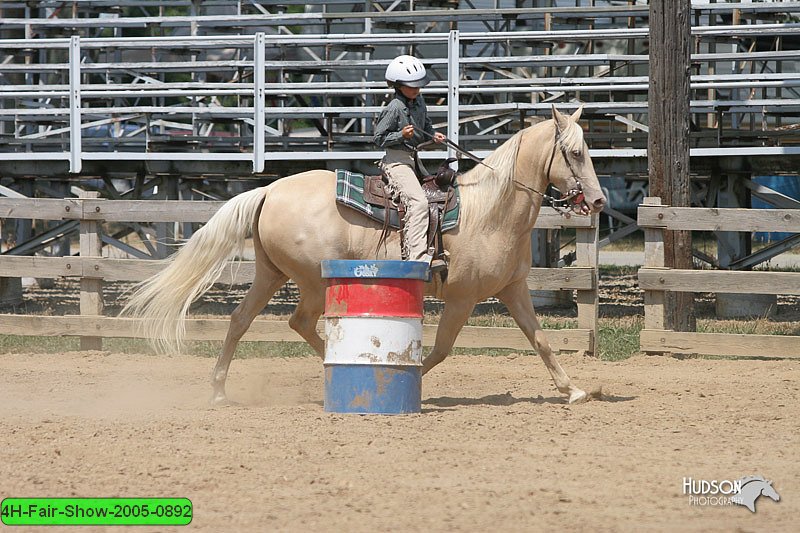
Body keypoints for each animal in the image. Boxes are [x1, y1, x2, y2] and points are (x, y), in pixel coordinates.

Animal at [122, 105, 608, 404]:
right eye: (575, 152)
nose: (599, 201)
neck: (491, 210)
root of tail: (269, 190)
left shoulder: (513, 289)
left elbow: (540, 340)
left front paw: (574, 390)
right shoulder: (462, 297)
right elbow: (440, 350)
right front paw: (411, 380)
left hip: (271, 273)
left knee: (242, 320)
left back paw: (222, 390)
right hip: (311, 281)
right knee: (298, 322)